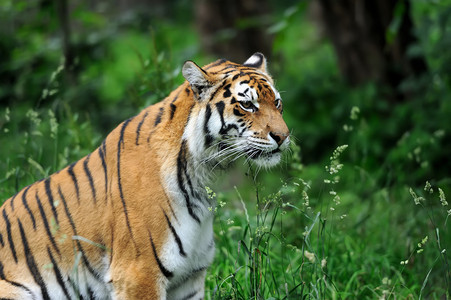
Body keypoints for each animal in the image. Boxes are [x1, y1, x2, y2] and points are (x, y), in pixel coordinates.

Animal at [0, 52, 290, 298]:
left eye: (277, 103)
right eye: (248, 105)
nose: (284, 136)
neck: (205, 174)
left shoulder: (189, 278)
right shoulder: (138, 272)